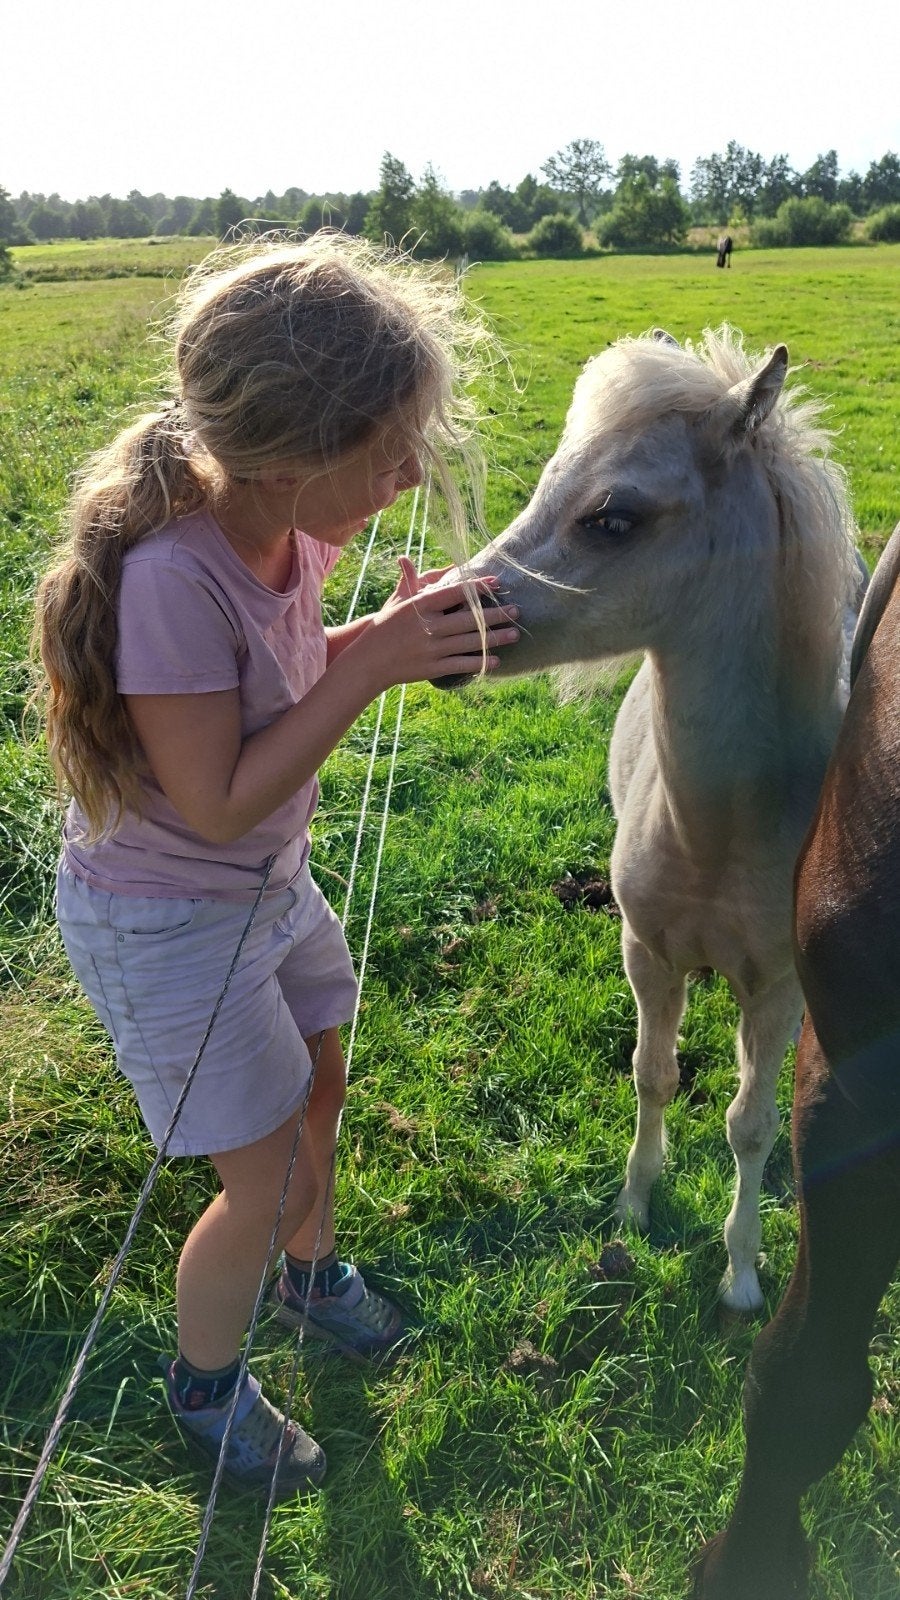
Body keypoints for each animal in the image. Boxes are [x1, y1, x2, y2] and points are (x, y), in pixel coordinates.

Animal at [440, 326, 865, 1317]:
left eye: (613, 518)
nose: (450, 615)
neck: (716, 832)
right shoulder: (646, 951)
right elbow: (653, 1073)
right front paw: (634, 1206)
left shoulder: (776, 987)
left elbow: (750, 1123)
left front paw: (742, 1274)